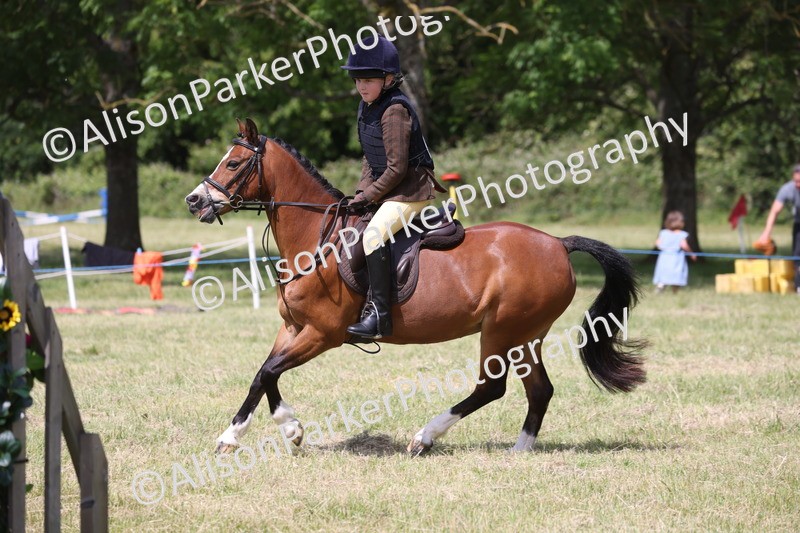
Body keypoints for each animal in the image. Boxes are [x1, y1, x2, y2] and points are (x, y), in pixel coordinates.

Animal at [185, 118, 646, 455]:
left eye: (232, 164)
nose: (195, 201)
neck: (316, 239)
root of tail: (558, 243)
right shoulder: (293, 329)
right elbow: (263, 376)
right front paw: (267, 432)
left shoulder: (322, 334)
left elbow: (268, 372)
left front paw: (264, 433)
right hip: (526, 335)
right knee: (539, 391)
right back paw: (519, 450)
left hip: (502, 330)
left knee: (491, 387)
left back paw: (424, 438)